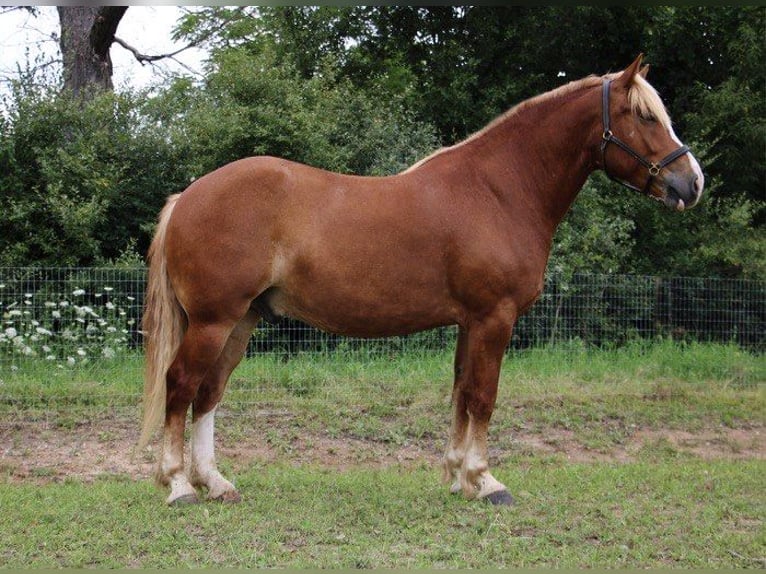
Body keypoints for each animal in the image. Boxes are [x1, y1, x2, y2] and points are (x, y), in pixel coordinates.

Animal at [140, 57, 708, 508]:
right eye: (645, 116)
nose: (692, 183)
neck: (498, 190)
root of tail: (188, 196)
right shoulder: (494, 318)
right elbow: (483, 396)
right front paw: (486, 481)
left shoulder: (470, 322)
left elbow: (461, 393)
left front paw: (458, 478)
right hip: (214, 320)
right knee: (181, 385)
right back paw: (179, 486)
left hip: (241, 320)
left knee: (209, 392)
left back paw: (215, 482)